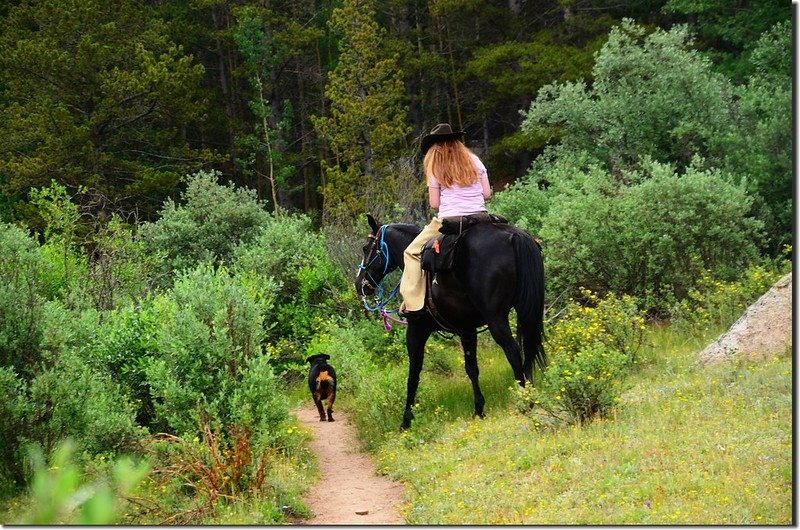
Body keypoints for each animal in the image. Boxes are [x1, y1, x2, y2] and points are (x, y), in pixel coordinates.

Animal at [354, 212, 544, 426]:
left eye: (366, 248)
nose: (359, 284)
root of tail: (514, 236)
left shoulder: (417, 329)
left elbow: (413, 375)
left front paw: (406, 420)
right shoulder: (466, 329)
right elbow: (472, 368)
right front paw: (479, 410)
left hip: (496, 318)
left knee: (513, 352)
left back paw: (525, 403)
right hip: (527, 309)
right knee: (529, 347)